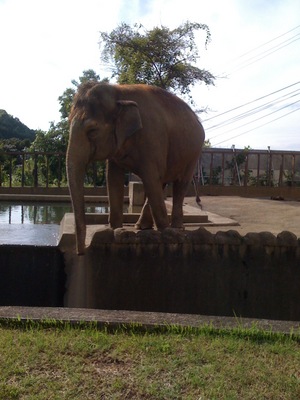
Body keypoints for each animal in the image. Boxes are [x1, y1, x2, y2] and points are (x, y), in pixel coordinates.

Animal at [67, 83, 205, 255]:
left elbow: (150, 177)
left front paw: (167, 233)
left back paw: (177, 228)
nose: (82, 251)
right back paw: (142, 227)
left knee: (180, 184)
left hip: (194, 153)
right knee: (161, 182)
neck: (119, 92)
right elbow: (113, 179)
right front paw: (114, 229)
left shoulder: (152, 138)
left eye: (92, 130)